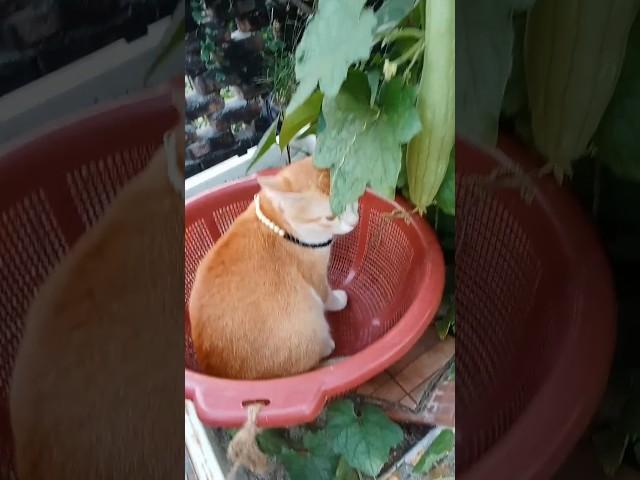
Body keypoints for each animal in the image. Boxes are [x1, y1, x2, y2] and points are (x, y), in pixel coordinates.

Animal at [189, 159, 360, 380]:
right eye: (330, 217)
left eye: (353, 198)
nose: (354, 221)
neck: (281, 222)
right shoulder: (315, 276)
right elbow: (327, 295)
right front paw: (339, 300)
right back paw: (326, 346)